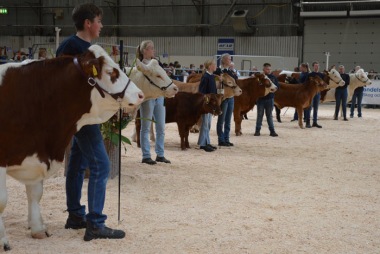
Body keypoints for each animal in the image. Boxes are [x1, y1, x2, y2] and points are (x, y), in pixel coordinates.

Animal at [0, 44, 145, 250]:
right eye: (111, 72)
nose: (140, 94)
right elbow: (2, 201)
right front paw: (3, 240)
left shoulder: (36, 154)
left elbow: (35, 194)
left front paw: (38, 229)